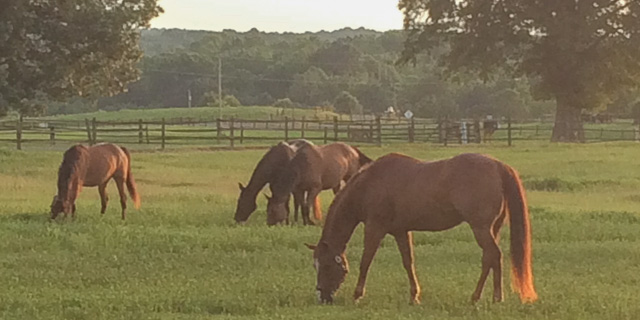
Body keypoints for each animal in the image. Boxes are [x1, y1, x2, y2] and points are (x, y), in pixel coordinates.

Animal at [308, 154, 536, 304]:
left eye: (326, 265)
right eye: (314, 266)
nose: (321, 296)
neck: (370, 184)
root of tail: (498, 165)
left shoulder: (374, 228)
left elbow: (366, 261)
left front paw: (357, 294)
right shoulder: (401, 231)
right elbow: (408, 262)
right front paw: (414, 296)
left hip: (480, 228)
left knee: (494, 256)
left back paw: (495, 298)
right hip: (491, 229)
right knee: (488, 259)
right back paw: (477, 296)